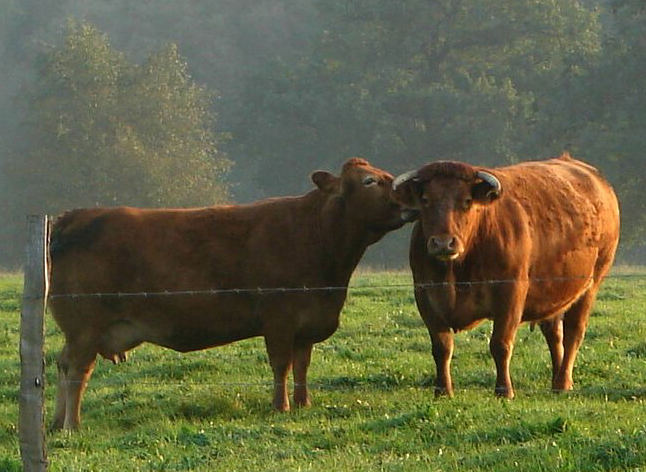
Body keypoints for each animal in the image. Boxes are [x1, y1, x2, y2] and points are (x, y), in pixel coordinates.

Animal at [48, 157, 418, 430]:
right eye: (370, 181)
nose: (409, 197)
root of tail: (74, 217)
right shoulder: (279, 319)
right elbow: (281, 364)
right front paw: (281, 406)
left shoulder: (308, 322)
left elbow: (302, 365)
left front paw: (303, 403)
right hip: (85, 328)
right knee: (78, 370)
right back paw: (72, 425)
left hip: (79, 332)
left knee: (63, 365)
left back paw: (56, 423)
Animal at [394, 154, 624, 398]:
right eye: (425, 200)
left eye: (466, 201)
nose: (443, 243)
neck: (456, 271)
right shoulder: (425, 296)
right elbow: (441, 347)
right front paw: (443, 391)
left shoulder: (510, 294)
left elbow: (500, 344)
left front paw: (504, 391)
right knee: (554, 333)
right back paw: (557, 381)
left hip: (591, 284)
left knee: (574, 332)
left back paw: (562, 382)